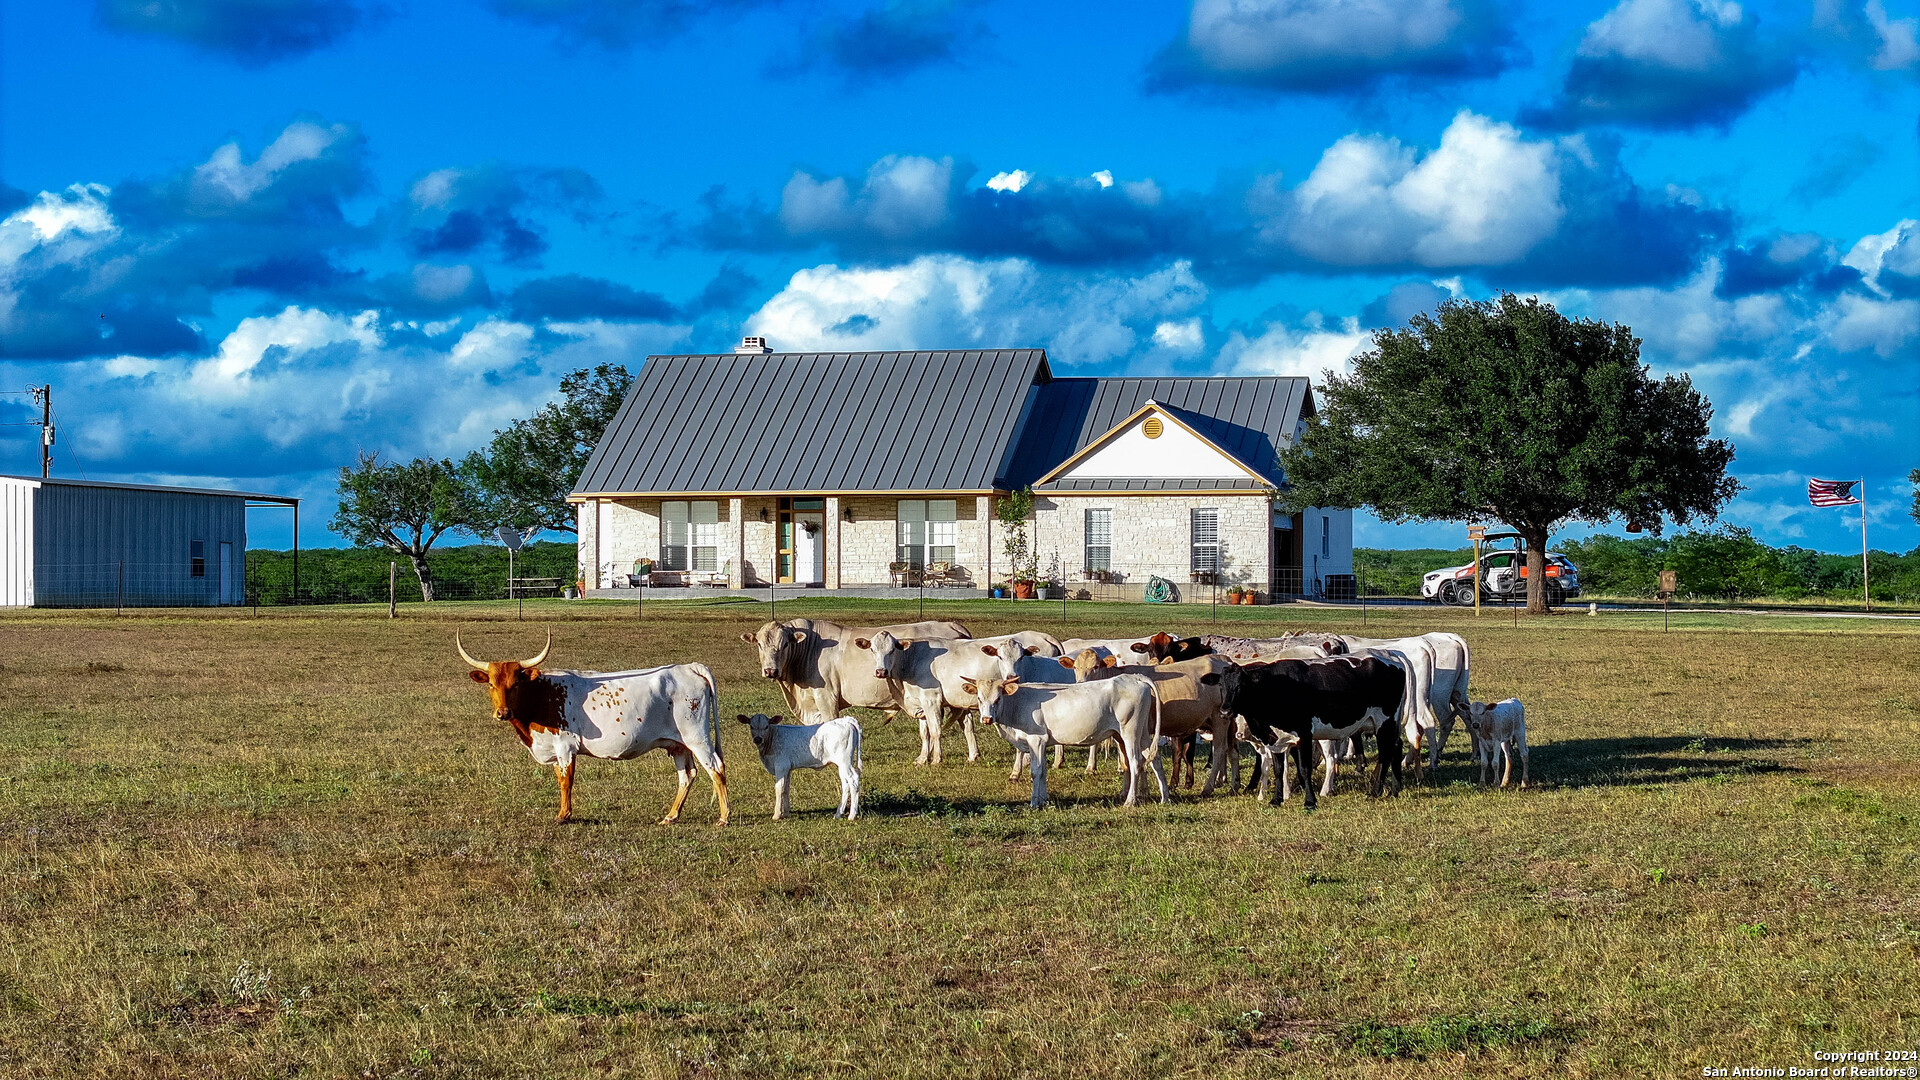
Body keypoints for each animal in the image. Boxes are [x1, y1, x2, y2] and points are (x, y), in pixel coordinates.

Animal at [460, 630, 729, 822]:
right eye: (491, 684)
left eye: (515, 683)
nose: (502, 712)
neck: (542, 694)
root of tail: (689, 667)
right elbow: (560, 777)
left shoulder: (565, 746)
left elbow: (566, 780)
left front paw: (563, 816)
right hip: (678, 744)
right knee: (687, 775)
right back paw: (671, 816)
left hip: (697, 737)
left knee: (716, 768)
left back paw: (724, 817)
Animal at [733, 714, 864, 814]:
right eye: (751, 726)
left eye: (766, 726)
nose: (758, 739)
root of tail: (845, 720)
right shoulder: (787, 769)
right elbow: (786, 788)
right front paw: (786, 813)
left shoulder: (780, 766)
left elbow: (778, 788)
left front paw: (776, 815)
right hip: (842, 765)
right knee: (846, 784)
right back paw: (838, 814)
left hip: (845, 762)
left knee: (853, 780)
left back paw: (852, 815)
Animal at [960, 668, 1167, 803]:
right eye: (979, 698)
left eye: (998, 698)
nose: (987, 719)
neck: (1017, 702)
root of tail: (1134, 678)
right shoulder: (1041, 744)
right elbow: (1043, 770)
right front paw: (1044, 799)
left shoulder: (1036, 740)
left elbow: (1036, 771)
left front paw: (1034, 802)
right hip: (1139, 734)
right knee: (1155, 759)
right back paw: (1165, 797)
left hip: (1130, 732)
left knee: (1135, 762)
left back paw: (1130, 801)